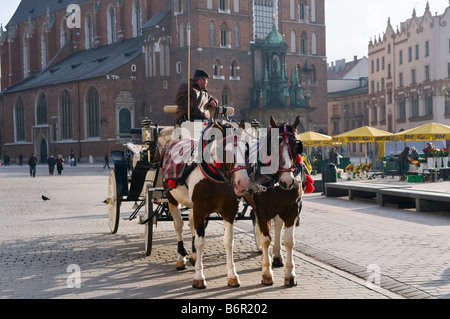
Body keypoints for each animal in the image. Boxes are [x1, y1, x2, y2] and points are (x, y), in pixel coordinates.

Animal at [163, 120, 253, 290]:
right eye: (226, 151)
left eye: (246, 150)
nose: (243, 182)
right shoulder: (200, 209)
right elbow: (200, 242)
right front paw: (199, 277)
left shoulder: (229, 211)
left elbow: (228, 241)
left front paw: (232, 275)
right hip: (172, 198)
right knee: (178, 225)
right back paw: (181, 258)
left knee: (191, 221)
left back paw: (192, 257)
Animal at [244, 116, 312, 288]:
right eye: (273, 146)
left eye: (296, 146)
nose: (287, 181)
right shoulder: (261, 210)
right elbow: (265, 239)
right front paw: (266, 274)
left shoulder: (292, 209)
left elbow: (288, 241)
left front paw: (290, 275)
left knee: (278, 225)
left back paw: (276, 256)